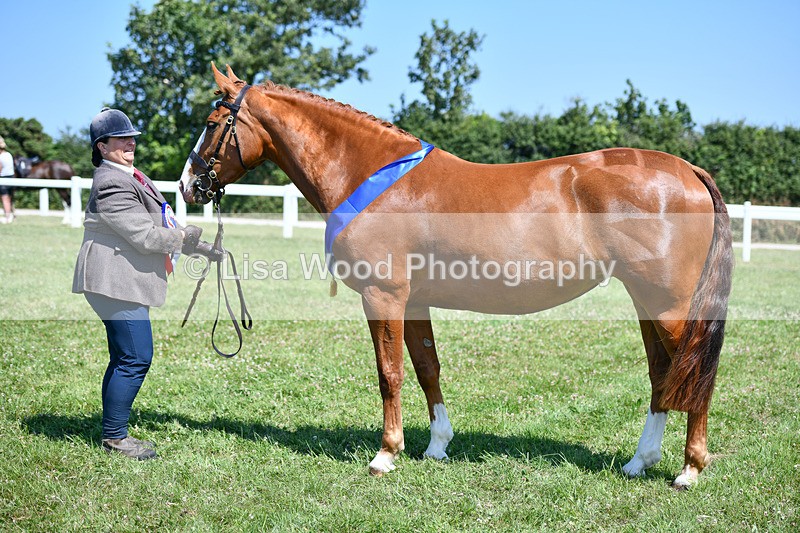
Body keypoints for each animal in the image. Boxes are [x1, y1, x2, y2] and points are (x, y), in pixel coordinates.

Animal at [178, 64, 733, 489]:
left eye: (212, 122)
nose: (187, 185)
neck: (369, 175)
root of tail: (688, 170)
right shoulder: (413, 302)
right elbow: (428, 369)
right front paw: (437, 445)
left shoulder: (383, 297)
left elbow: (390, 373)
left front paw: (386, 454)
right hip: (647, 302)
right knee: (663, 376)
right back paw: (640, 461)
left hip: (670, 307)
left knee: (695, 377)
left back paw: (689, 469)